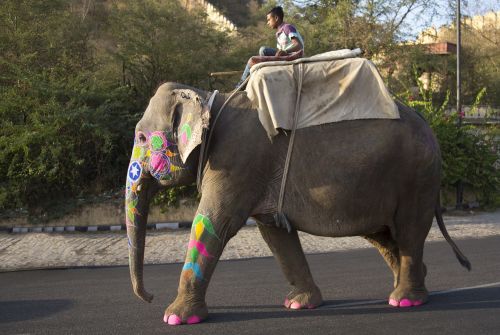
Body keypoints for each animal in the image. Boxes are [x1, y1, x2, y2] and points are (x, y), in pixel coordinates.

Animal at [124, 80, 468, 326]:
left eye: (140, 138)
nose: (149, 297)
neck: (208, 98)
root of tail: (426, 121)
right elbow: (275, 233)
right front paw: (298, 304)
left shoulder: (238, 161)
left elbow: (212, 223)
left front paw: (174, 318)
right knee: (383, 236)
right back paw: (411, 286)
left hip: (417, 177)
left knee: (408, 231)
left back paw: (405, 300)